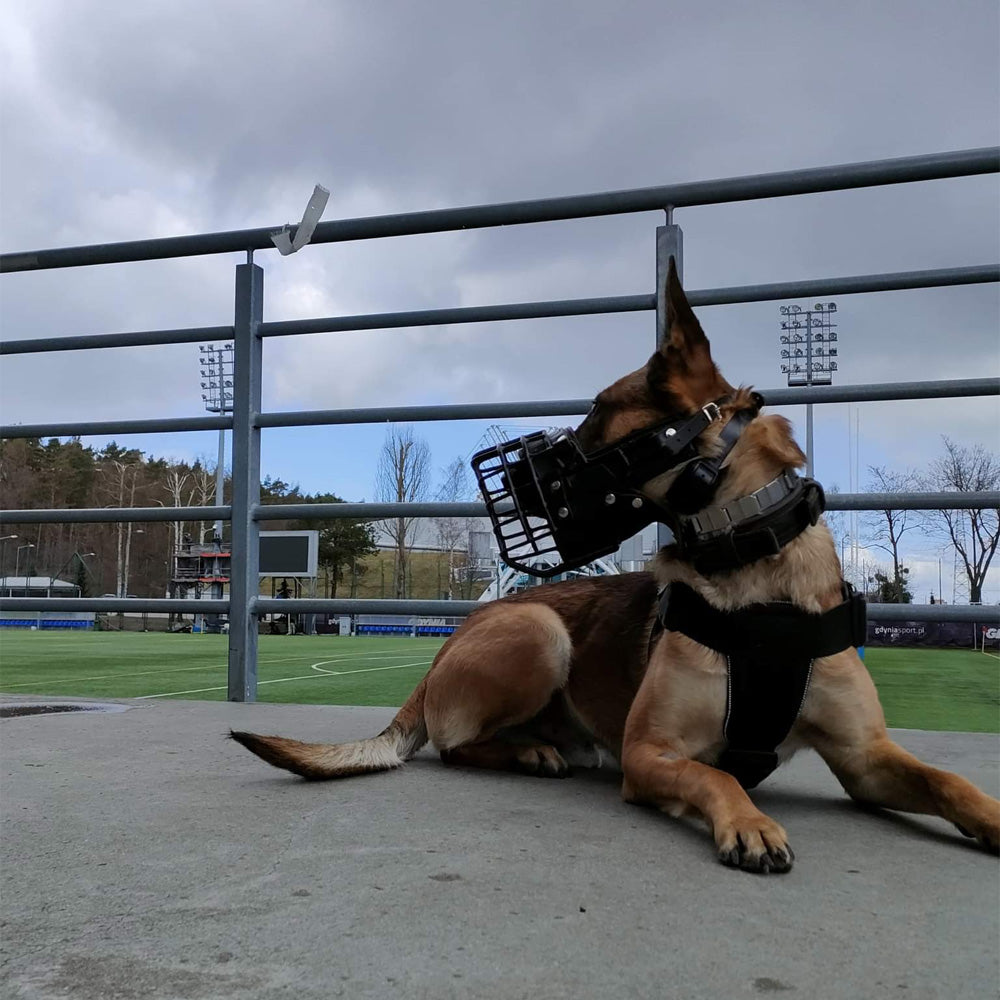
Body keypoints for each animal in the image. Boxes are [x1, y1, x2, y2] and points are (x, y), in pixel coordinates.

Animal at [229, 262, 1000, 872]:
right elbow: (720, 780)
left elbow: (951, 782)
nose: (508, 481)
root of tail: (445, 652)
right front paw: (748, 822)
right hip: (541, 631)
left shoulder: (867, 759)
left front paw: (990, 817)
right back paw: (528, 753)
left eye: (599, 410)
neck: (754, 565)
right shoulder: (650, 753)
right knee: (452, 745)